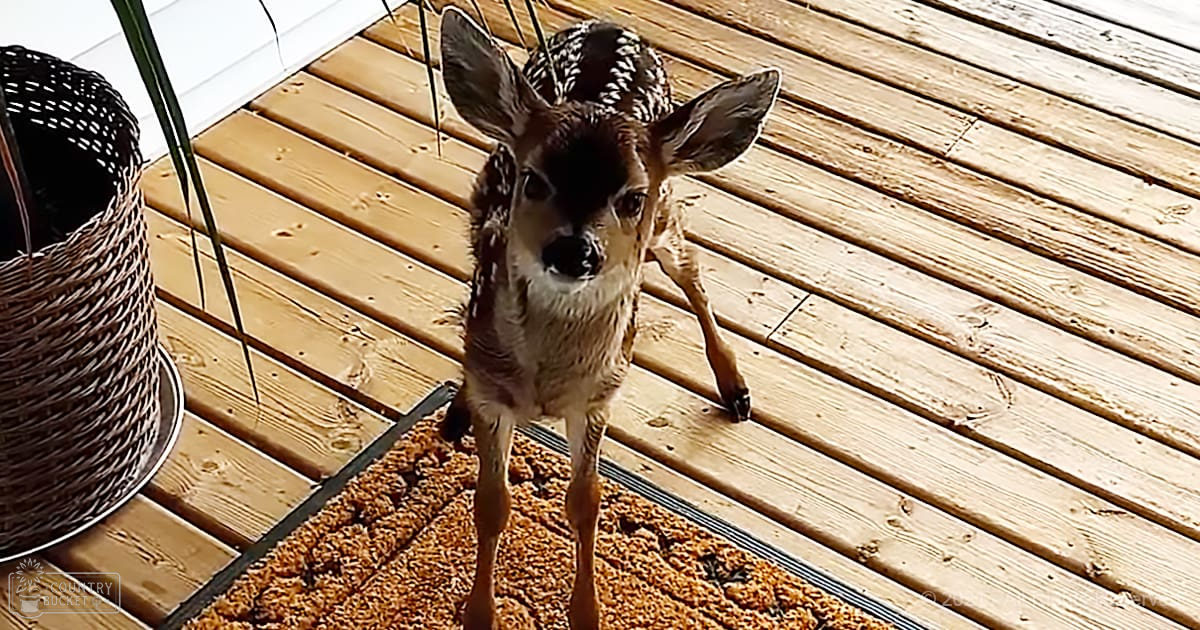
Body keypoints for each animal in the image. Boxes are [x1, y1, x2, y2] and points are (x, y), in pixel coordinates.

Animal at [435, 7, 780, 629]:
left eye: (631, 196)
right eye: (534, 180)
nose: (574, 251)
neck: (547, 383)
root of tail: (607, 23)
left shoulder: (599, 397)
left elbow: (586, 502)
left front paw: (587, 612)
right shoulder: (496, 394)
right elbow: (491, 502)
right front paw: (478, 613)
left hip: (666, 221)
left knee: (692, 274)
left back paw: (735, 388)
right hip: (481, 201)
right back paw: (455, 410)